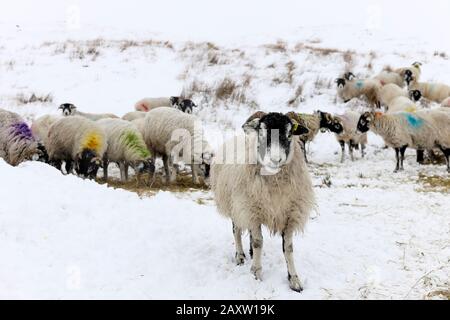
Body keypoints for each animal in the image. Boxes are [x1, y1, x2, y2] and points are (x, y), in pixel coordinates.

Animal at [210, 112, 312, 292]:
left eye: (289, 134)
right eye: (262, 133)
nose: (275, 159)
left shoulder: (290, 214)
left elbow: (288, 248)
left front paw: (294, 279)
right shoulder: (250, 209)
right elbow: (259, 242)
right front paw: (256, 273)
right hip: (237, 205)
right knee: (236, 231)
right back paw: (240, 256)